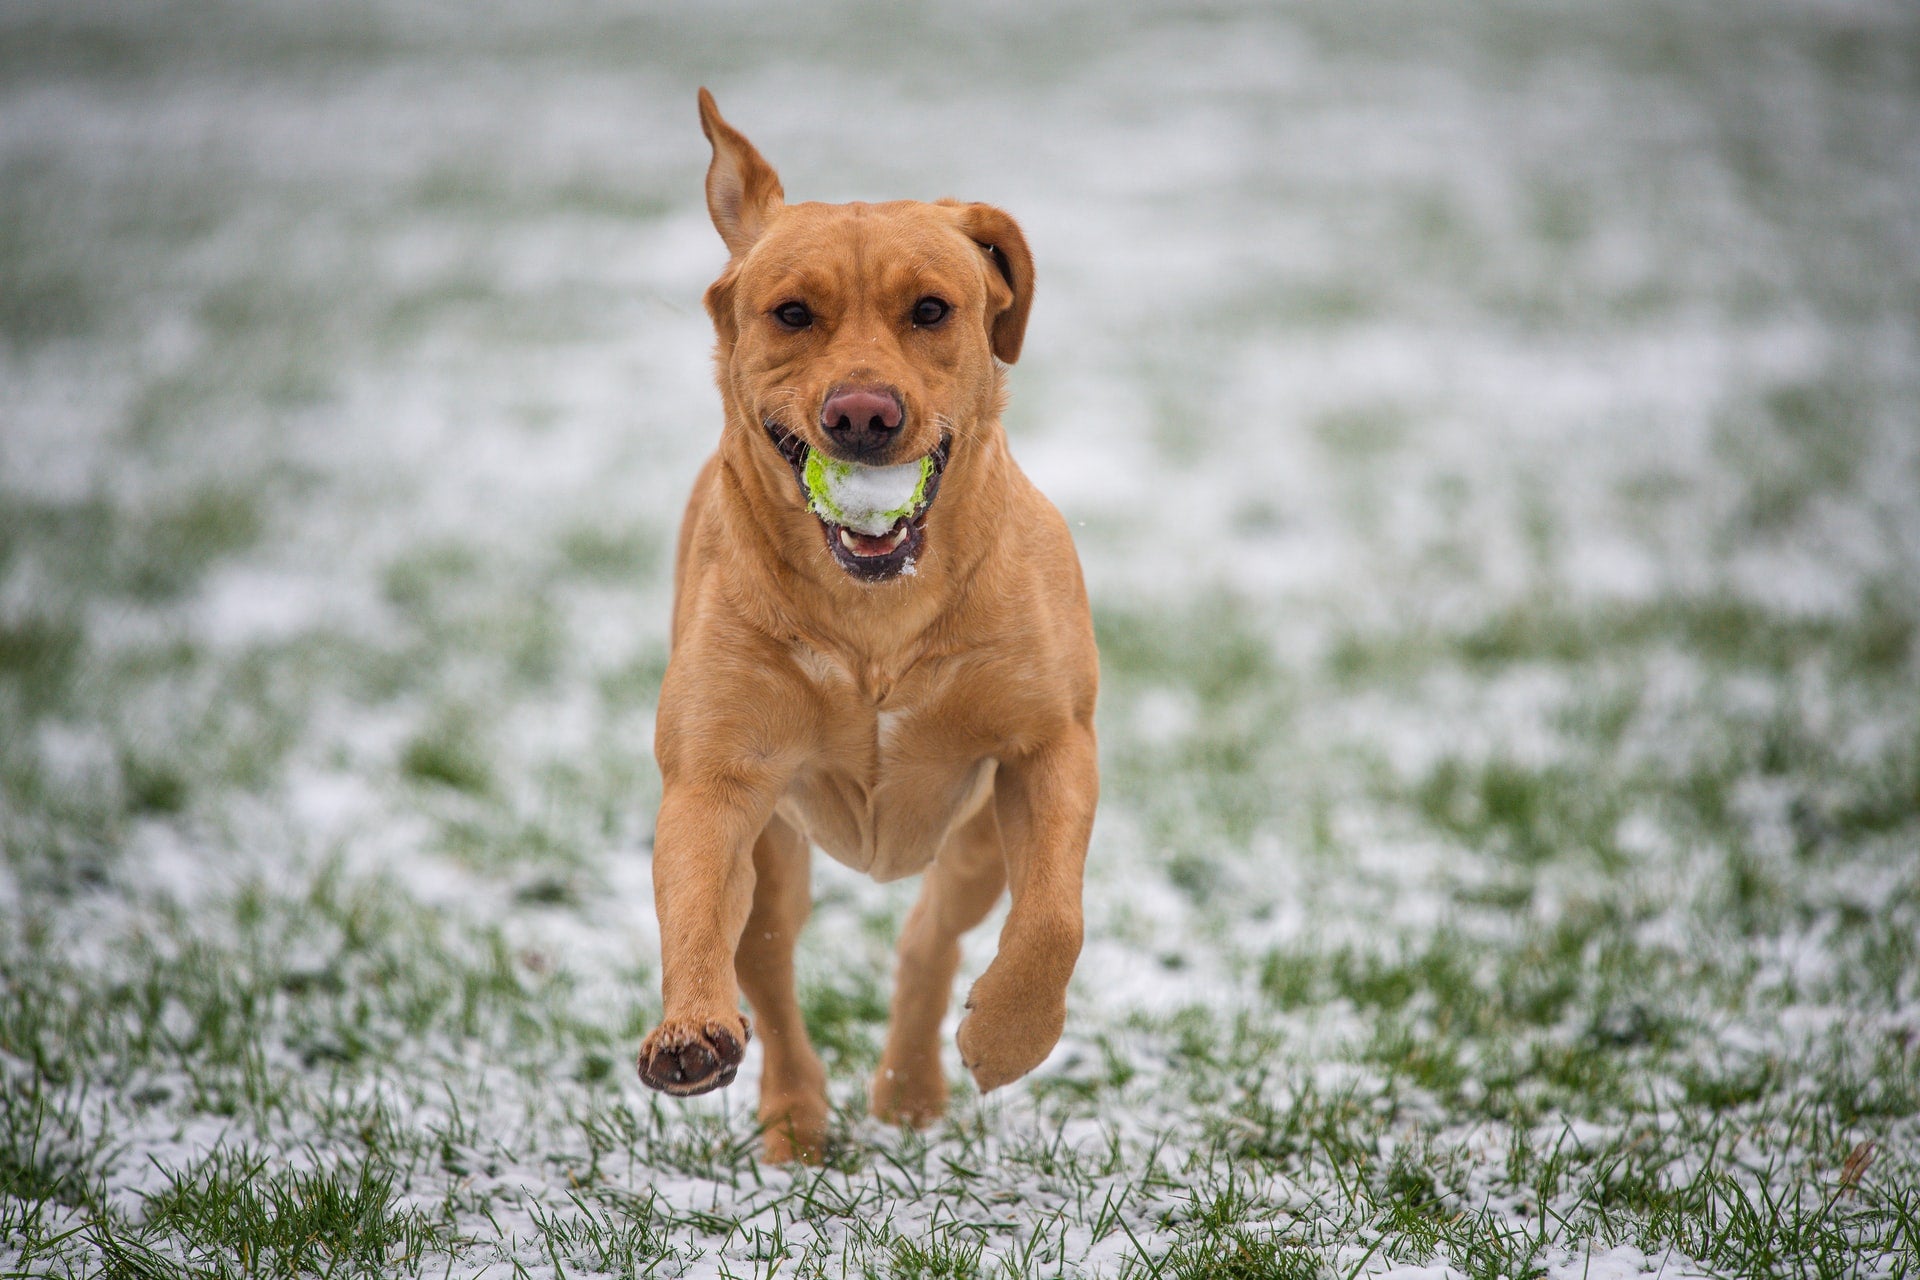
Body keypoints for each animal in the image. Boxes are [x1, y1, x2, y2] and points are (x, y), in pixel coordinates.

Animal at [637, 94, 1098, 1166]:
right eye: (791, 313)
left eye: (931, 309)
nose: (860, 413)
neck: (876, 615)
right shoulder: (717, 774)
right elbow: (693, 895)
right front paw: (689, 1029)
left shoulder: (1051, 744)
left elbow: (1053, 920)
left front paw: (1010, 1036)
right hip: (779, 857)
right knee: (768, 963)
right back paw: (795, 1116)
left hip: (975, 840)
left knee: (933, 934)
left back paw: (916, 1084)